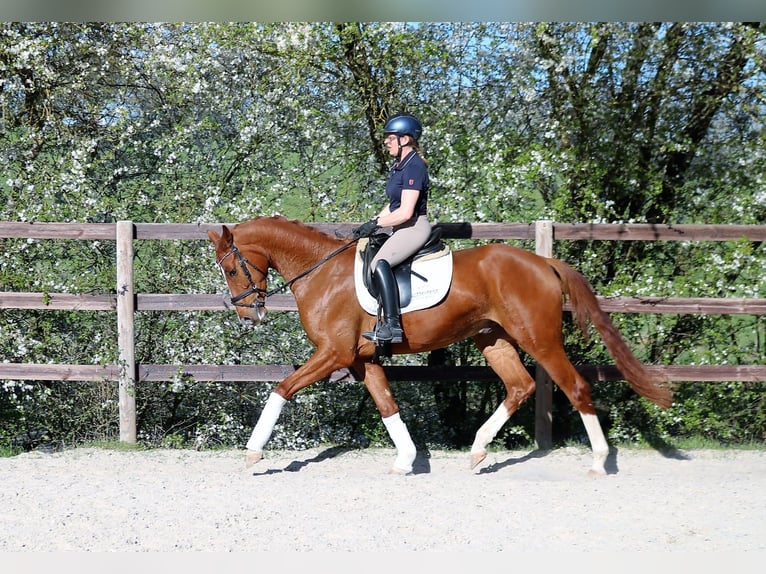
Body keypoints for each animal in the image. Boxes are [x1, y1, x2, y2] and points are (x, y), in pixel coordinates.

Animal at [207, 215, 673, 475]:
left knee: (575, 387)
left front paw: (253, 454)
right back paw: (479, 450)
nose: (247, 316)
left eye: (231, 269)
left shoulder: (333, 354)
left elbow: (282, 389)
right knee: (519, 386)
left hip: (540, 340)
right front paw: (406, 460)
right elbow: (387, 404)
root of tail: (543, 262)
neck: (321, 272)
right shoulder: (360, 359)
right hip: (493, 339)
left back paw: (598, 461)